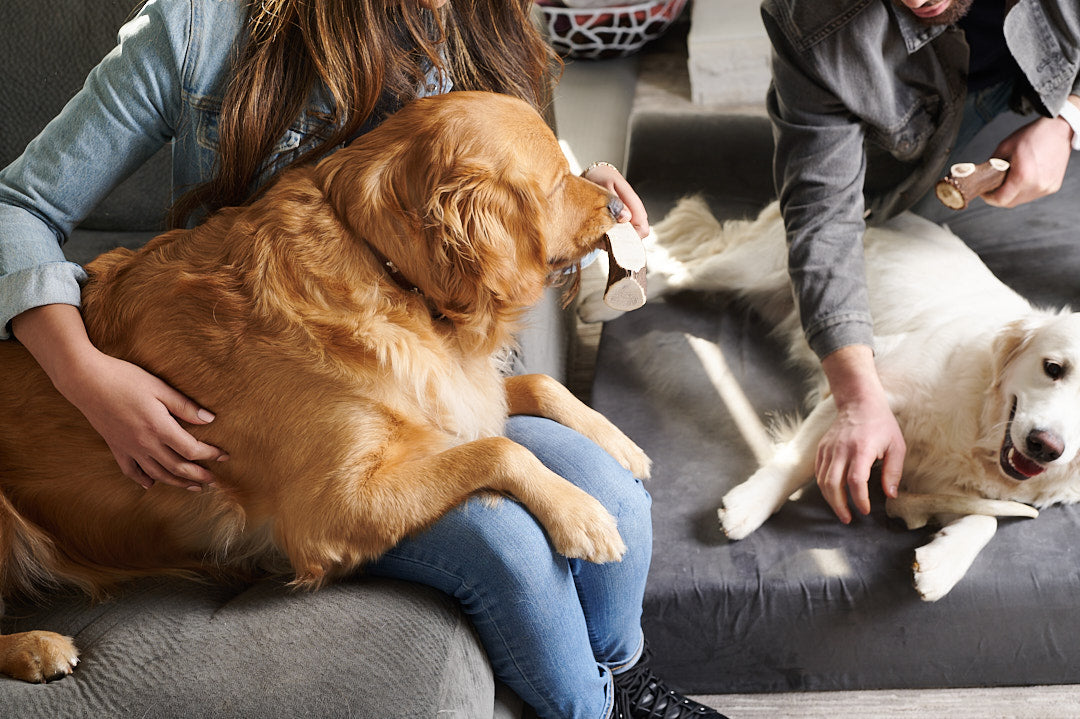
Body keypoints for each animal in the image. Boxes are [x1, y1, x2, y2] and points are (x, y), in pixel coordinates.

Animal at [0, 92, 648, 682]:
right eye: (558, 180)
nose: (619, 202)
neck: (385, 268)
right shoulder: (331, 508)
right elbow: (500, 449)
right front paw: (582, 515)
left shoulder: (449, 394)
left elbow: (537, 384)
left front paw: (620, 444)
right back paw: (37, 647)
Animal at [587, 196, 1080, 600]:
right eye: (1052, 368)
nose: (1044, 446)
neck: (981, 418)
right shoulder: (870, 388)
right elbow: (799, 460)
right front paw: (749, 507)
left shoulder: (941, 485)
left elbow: (989, 517)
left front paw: (943, 563)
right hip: (750, 268)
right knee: (679, 273)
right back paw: (603, 304)